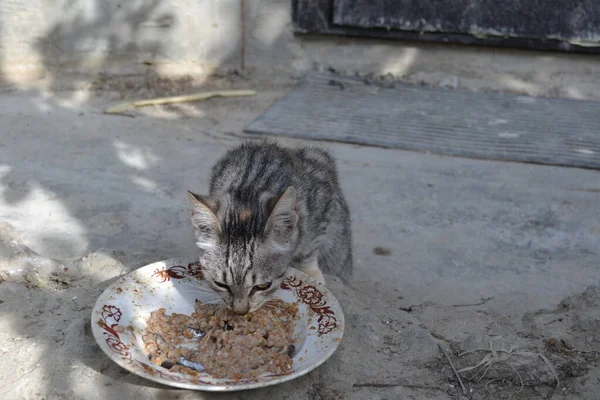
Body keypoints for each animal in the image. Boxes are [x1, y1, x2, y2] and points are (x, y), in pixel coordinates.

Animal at [188, 142, 352, 314]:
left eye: (263, 286)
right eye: (221, 284)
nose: (241, 312)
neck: (250, 189)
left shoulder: (323, 193)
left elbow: (309, 249)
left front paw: (310, 272)